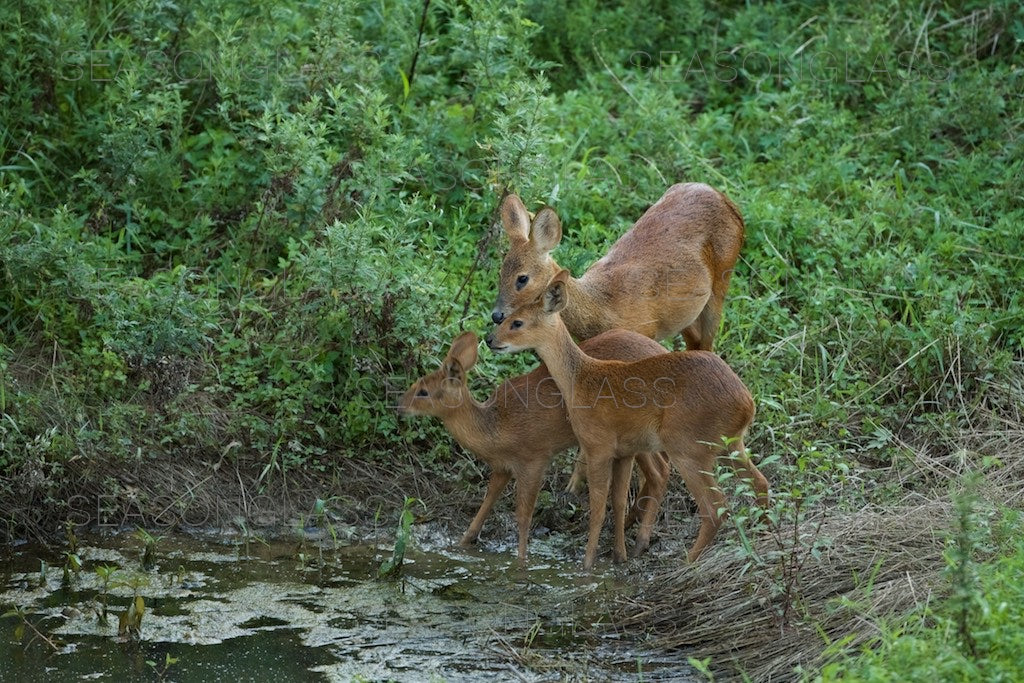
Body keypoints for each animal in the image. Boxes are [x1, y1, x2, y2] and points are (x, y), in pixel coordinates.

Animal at [397, 327, 671, 565]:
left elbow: (523, 516)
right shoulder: (502, 467)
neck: (495, 429)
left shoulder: (534, 458)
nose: (399, 405)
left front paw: (521, 561)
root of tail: (662, 349)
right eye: (417, 383)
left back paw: (639, 541)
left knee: (660, 471)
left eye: (423, 391)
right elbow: (487, 501)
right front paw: (462, 544)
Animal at [487, 272, 770, 573]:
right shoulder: (624, 452)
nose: (490, 339)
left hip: (689, 449)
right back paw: (763, 538)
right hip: (730, 445)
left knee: (715, 508)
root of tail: (747, 404)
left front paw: (587, 564)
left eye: (517, 322)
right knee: (760, 482)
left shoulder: (598, 447)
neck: (581, 380)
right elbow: (619, 501)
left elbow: (598, 507)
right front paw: (618, 556)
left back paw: (685, 564)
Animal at [489, 181, 745, 491]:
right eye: (500, 271)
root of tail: (723, 197)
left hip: (721, 282)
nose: (497, 315)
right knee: (695, 342)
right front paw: (575, 484)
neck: (602, 308)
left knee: (708, 342)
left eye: (522, 278)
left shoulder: (644, 337)